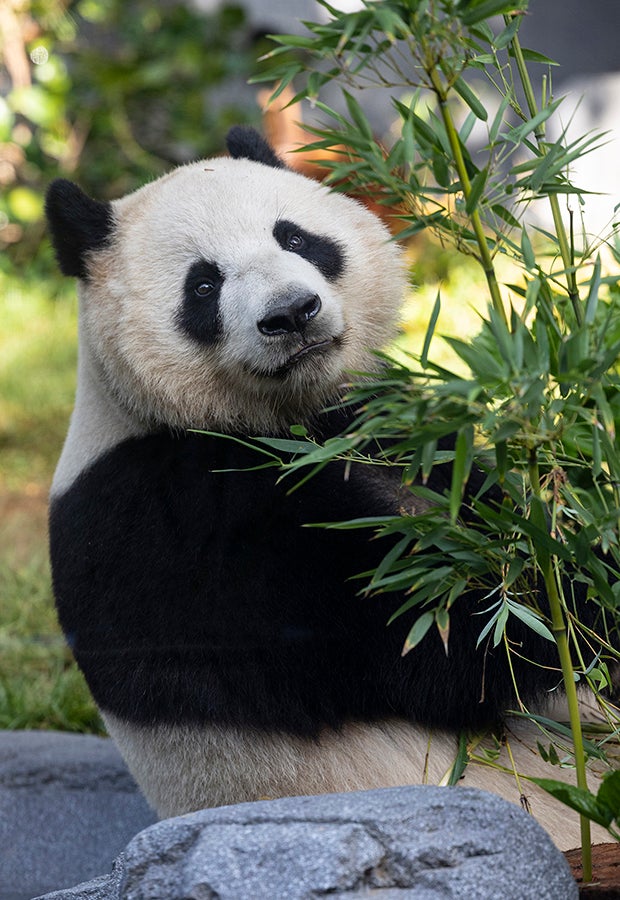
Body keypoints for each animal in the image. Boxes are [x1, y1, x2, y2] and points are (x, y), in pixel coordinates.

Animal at [46, 126, 609, 850]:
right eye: (203, 284)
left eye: (295, 238)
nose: (292, 313)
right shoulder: (176, 524)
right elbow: (460, 634)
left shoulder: (384, 424)